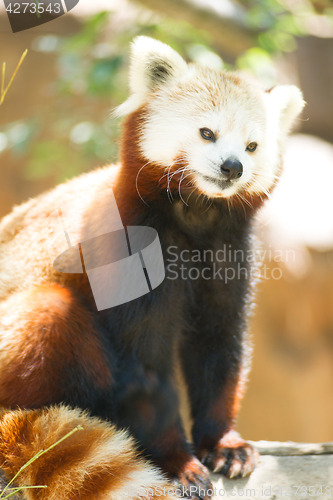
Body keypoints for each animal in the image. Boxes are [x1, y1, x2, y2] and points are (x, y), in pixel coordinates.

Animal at [0, 36, 304, 500]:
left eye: (252, 146)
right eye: (207, 133)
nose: (232, 167)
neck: (195, 217)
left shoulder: (229, 254)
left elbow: (220, 347)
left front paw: (224, 444)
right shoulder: (129, 254)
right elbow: (146, 363)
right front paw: (178, 463)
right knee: (51, 313)